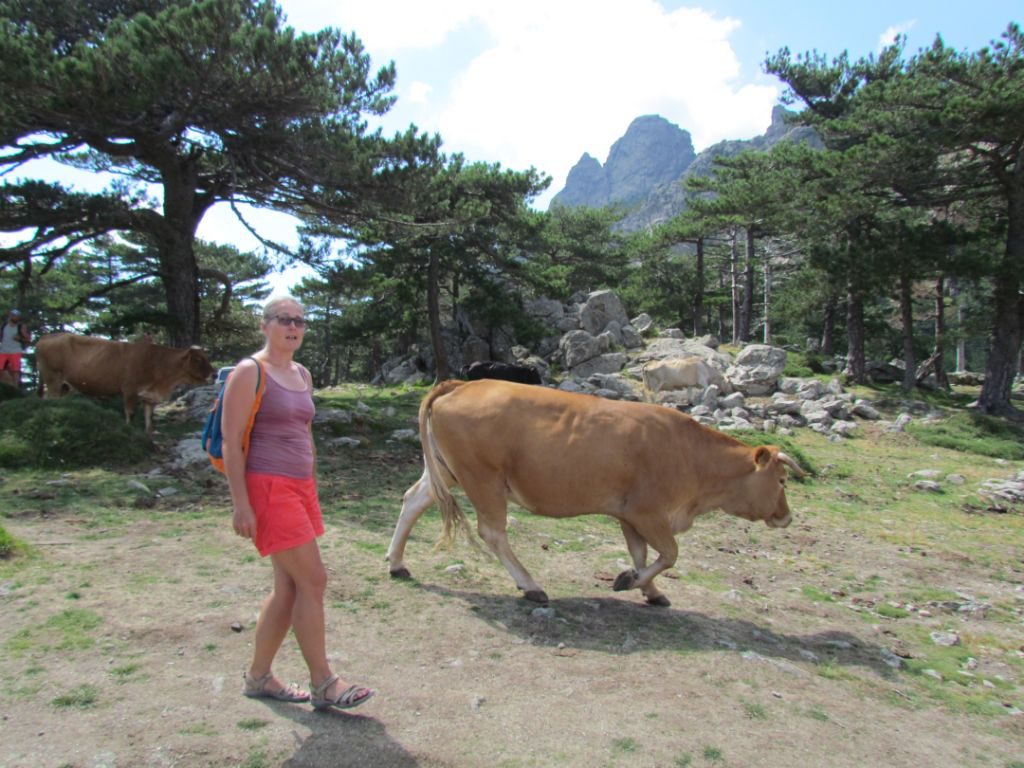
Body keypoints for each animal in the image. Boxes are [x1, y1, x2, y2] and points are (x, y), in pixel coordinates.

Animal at [36, 333, 215, 433]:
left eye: (206, 357)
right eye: (198, 359)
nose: (214, 373)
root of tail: (45, 338)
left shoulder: (149, 395)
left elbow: (149, 415)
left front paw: (150, 432)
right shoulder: (129, 389)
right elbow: (130, 412)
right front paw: (128, 429)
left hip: (63, 386)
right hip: (53, 380)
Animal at [387, 379, 804, 606]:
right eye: (782, 480)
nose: (787, 516)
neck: (691, 455)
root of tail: (462, 384)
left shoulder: (628, 516)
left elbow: (641, 555)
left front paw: (649, 589)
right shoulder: (648, 513)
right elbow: (669, 554)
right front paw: (632, 582)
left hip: (445, 471)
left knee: (413, 500)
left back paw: (396, 563)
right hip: (483, 479)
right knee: (492, 532)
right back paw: (531, 585)